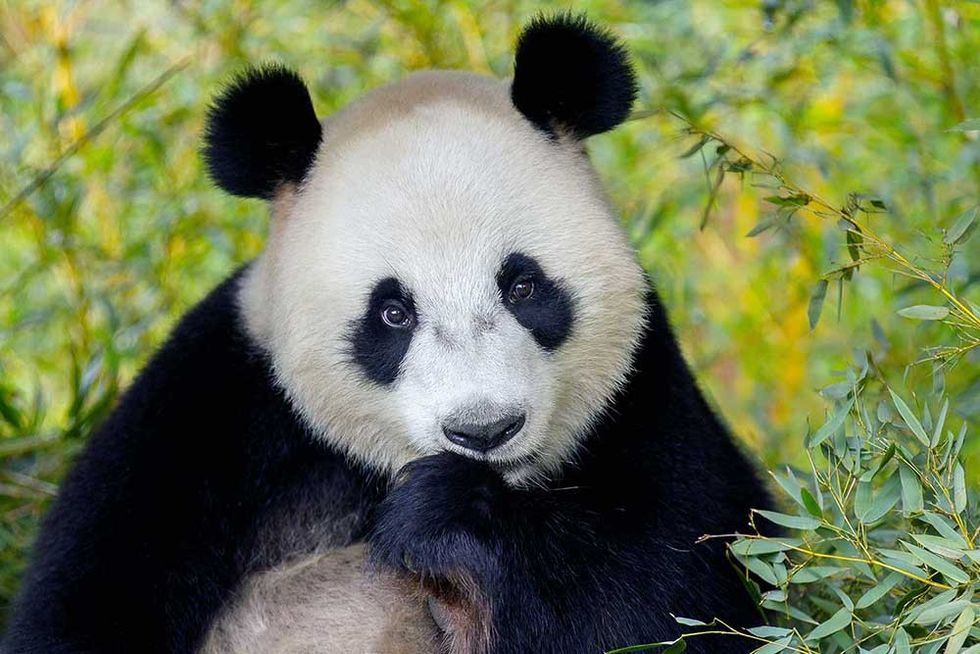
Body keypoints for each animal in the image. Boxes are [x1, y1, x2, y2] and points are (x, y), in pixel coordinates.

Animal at [2, 14, 771, 654]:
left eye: (522, 286)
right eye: (392, 313)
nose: (484, 431)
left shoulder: (646, 392)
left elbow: (678, 593)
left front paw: (444, 515)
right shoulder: (214, 407)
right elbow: (88, 597)